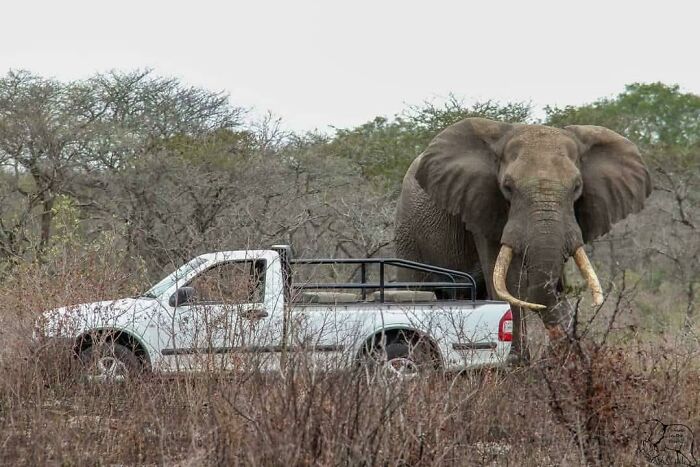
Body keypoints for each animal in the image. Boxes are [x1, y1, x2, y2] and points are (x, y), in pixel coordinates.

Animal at [395, 117, 651, 360]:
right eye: (508, 187)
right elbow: (507, 281)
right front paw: (516, 362)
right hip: (407, 233)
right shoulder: (482, 205)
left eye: (577, 187)